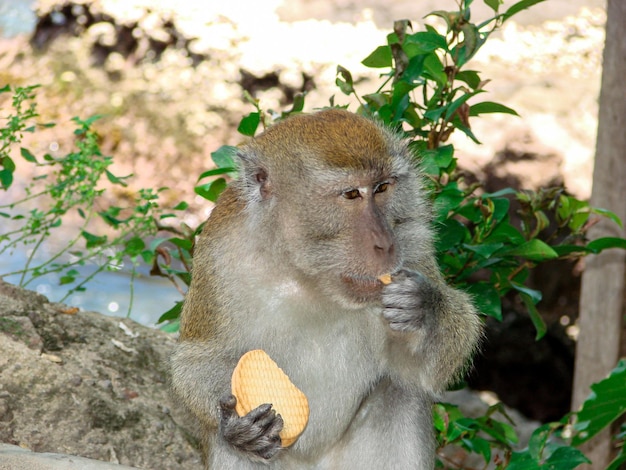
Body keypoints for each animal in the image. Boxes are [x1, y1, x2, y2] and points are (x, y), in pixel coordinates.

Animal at [168, 108, 480, 468]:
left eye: (383, 187)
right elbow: (196, 360)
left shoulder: (413, 242)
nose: (386, 244)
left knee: (402, 391)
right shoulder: (218, 257)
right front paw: (237, 427)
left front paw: (424, 306)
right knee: (232, 447)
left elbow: (426, 372)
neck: (306, 274)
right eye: (351, 194)